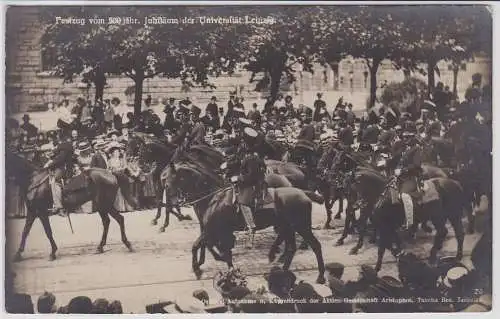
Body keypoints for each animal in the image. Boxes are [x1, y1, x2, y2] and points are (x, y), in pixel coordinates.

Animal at [6, 150, 135, 262]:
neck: (33, 180)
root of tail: (110, 173)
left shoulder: (41, 211)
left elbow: (48, 231)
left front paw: (53, 252)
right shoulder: (32, 211)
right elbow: (25, 231)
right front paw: (17, 254)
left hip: (105, 205)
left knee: (117, 219)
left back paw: (126, 244)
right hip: (103, 206)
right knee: (109, 221)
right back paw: (101, 247)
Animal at [161, 161, 328, 284]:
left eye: (172, 177)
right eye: (165, 178)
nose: (167, 195)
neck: (214, 197)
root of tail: (303, 193)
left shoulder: (213, 230)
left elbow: (198, 245)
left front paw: (197, 269)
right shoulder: (214, 230)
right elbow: (219, 250)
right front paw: (223, 268)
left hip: (301, 226)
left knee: (315, 246)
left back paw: (319, 276)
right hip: (288, 227)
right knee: (291, 247)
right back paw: (283, 270)